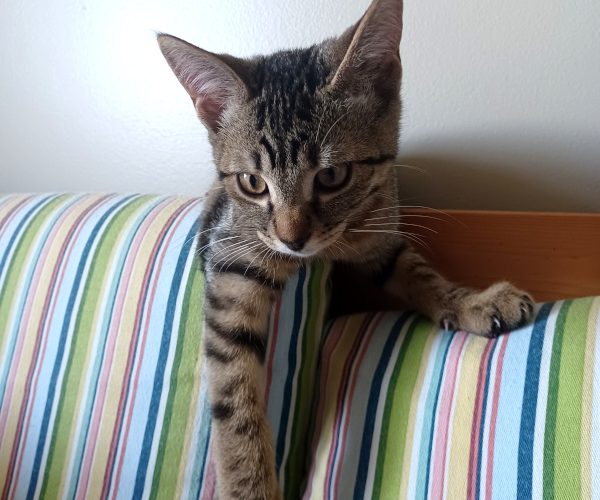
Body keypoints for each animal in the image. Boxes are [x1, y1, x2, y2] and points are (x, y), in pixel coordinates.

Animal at [156, 0, 536, 496]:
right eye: (253, 183)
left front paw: (471, 301)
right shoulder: (228, 261)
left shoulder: (379, 230)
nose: (292, 239)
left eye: (333, 176)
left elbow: (420, 273)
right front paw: (249, 484)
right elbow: (234, 393)